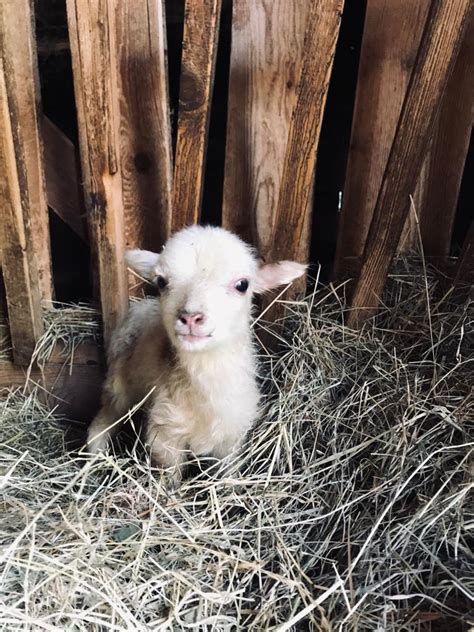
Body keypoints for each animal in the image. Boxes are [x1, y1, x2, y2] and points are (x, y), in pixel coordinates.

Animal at [86, 225, 306, 476]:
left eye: (242, 285)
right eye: (161, 281)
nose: (190, 317)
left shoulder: (231, 440)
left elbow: (227, 475)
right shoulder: (166, 434)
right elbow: (170, 478)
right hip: (119, 384)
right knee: (103, 422)